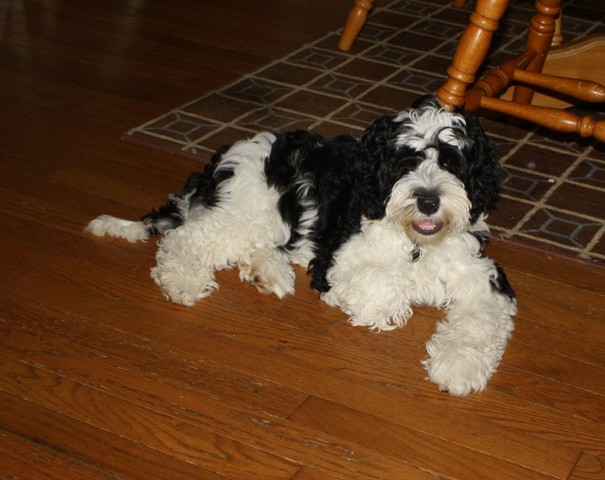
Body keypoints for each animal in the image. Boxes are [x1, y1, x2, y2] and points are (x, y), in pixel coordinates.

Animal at [87, 95, 516, 396]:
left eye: (451, 162)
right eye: (404, 162)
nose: (428, 200)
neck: (417, 241)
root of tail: (221, 161)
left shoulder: (484, 279)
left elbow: (478, 321)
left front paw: (458, 368)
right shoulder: (336, 261)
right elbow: (381, 289)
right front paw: (393, 302)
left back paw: (267, 272)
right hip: (253, 210)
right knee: (188, 237)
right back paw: (185, 282)